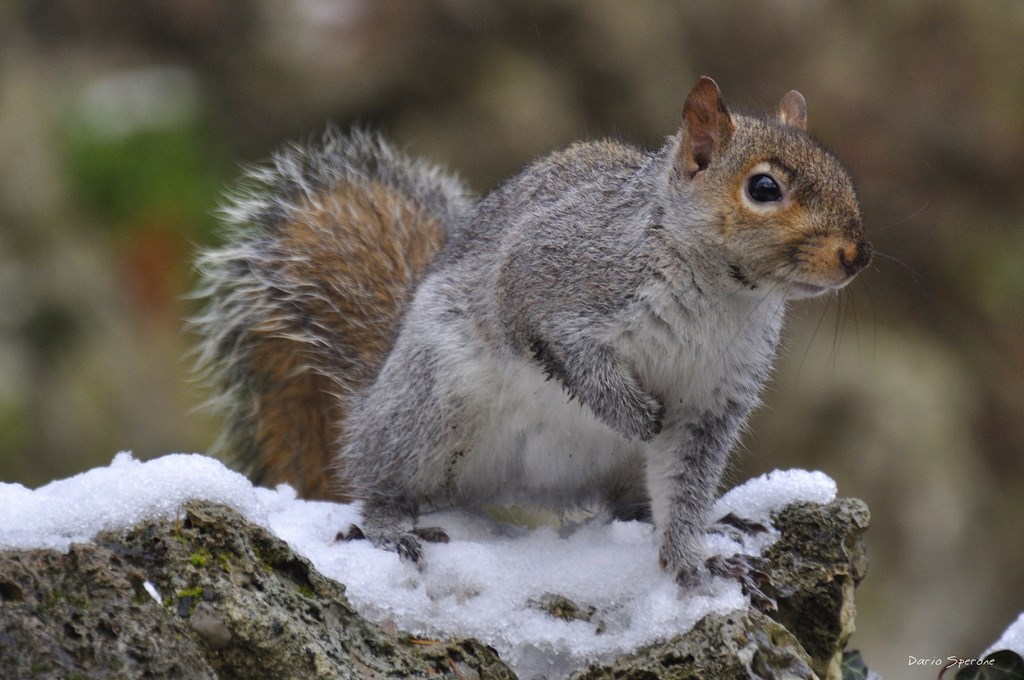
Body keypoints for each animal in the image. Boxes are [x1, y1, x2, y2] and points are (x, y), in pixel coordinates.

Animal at [192, 77, 871, 587]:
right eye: (764, 187)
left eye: (843, 175)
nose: (856, 256)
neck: (722, 296)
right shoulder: (547, 277)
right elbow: (560, 346)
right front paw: (630, 412)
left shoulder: (713, 402)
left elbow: (684, 487)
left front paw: (691, 559)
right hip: (429, 404)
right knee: (378, 477)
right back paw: (389, 526)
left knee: (631, 502)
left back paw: (709, 522)